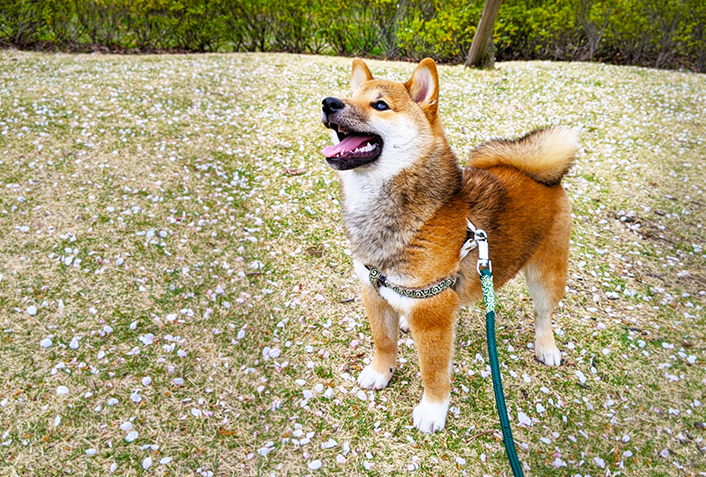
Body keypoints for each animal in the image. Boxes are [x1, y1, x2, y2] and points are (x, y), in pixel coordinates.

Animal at [320, 58, 576, 432]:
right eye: (348, 95)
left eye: (379, 105)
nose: (329, 103)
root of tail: (542, 176)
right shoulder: (374, 290)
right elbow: (384, 342)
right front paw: (381, 372)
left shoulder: (432, 312)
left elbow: (434, 370)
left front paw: (433, 410)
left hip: (546, 273)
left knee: (544, 313)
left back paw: (546, 346)